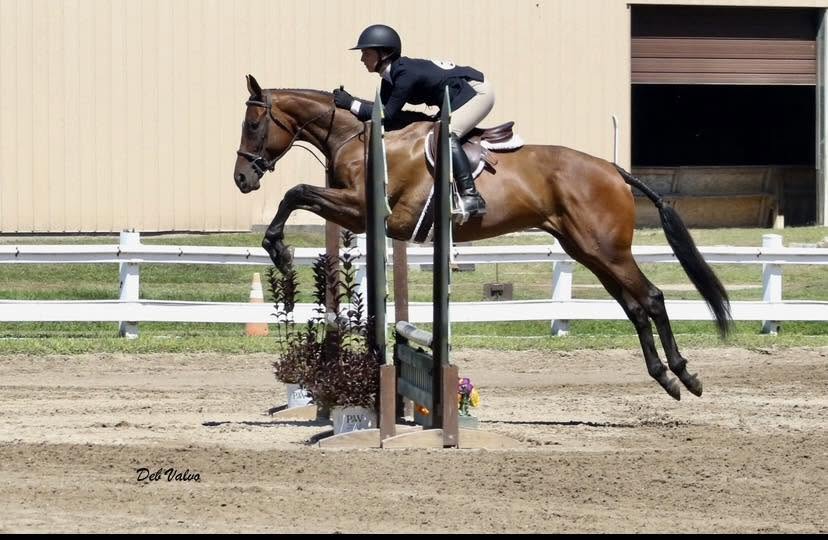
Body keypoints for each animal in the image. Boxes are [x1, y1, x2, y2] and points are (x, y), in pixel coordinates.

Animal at [233, 74, 732, 401]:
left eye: (253, 125)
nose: (242, 179)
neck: (359, 137)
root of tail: (614, 170)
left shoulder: (361, 209)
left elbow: (296, 192)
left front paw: (279, 250)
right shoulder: (357, 214)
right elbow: (299, 194)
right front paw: (279, 249)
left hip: (607, 249)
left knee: (651, 298)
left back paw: (685, 376)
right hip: (587, 249)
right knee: (634, 306)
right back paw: (666, 377)